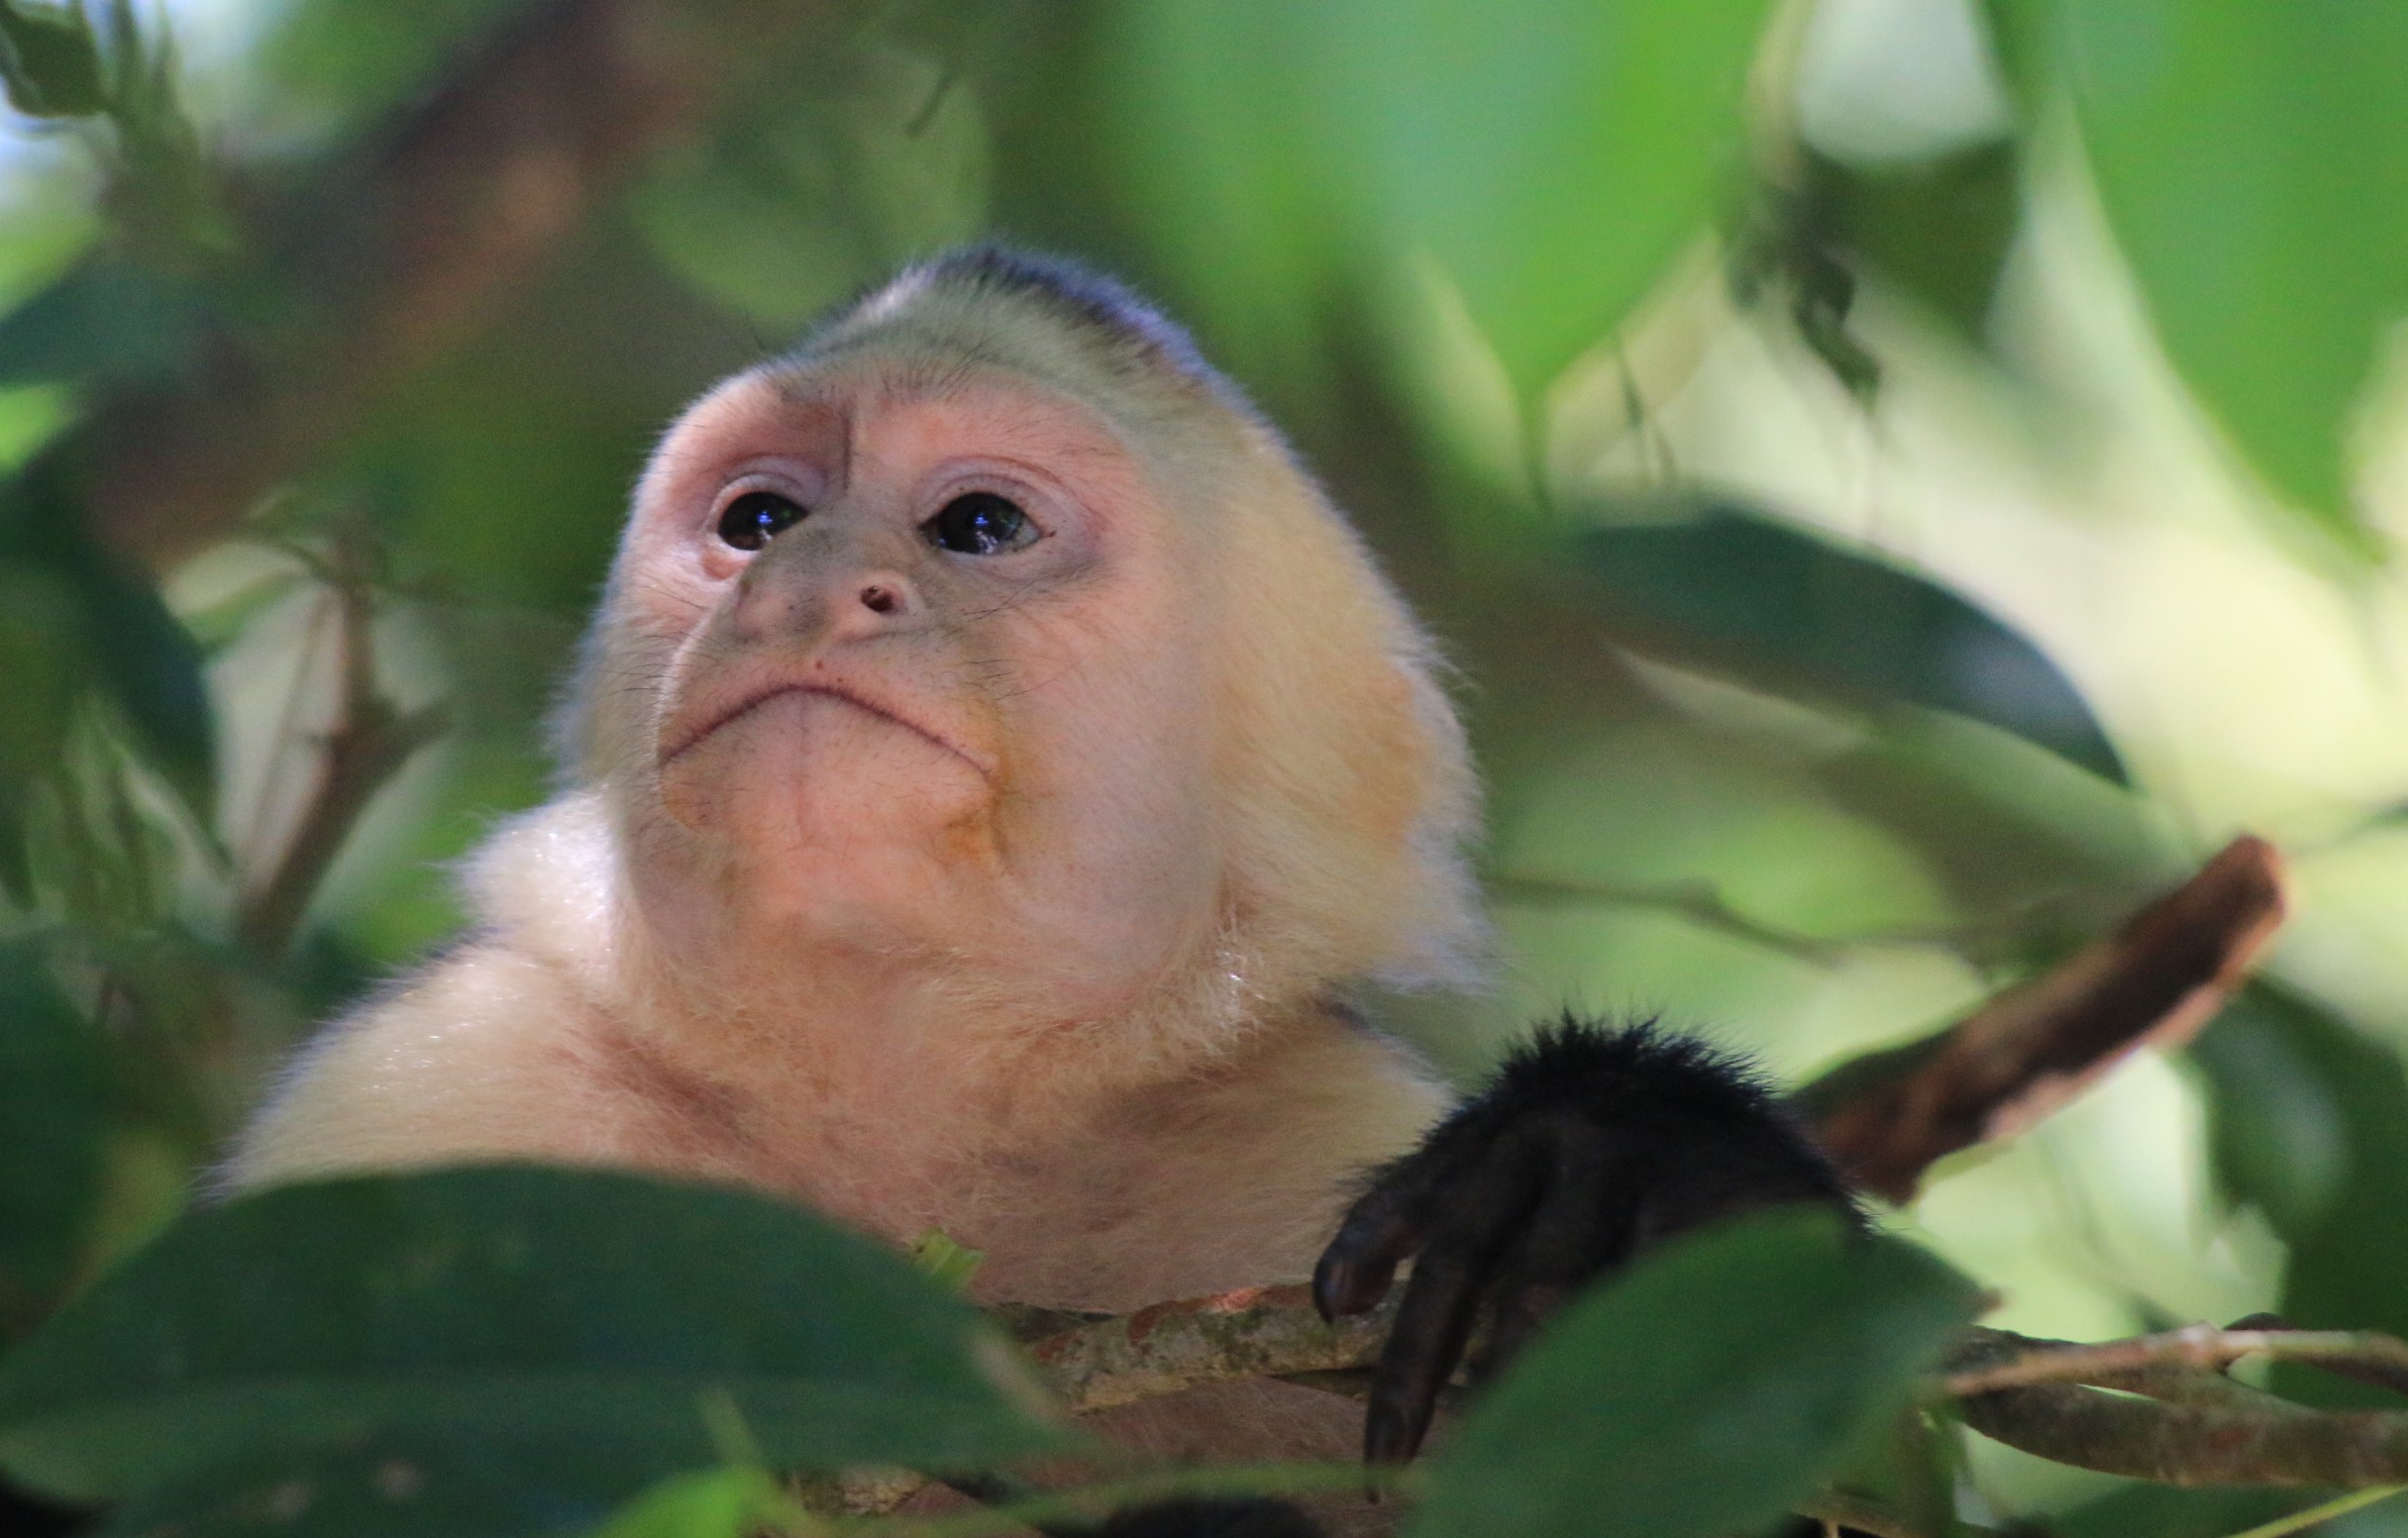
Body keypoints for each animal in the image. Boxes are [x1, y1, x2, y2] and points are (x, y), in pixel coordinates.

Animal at [226, 247, 1849, 1530]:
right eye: (758, 521)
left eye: (977, 528)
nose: (803, 585)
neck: (900, 1100)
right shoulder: (424, 1098)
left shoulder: (1294, 1156)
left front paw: (1619, 1163)